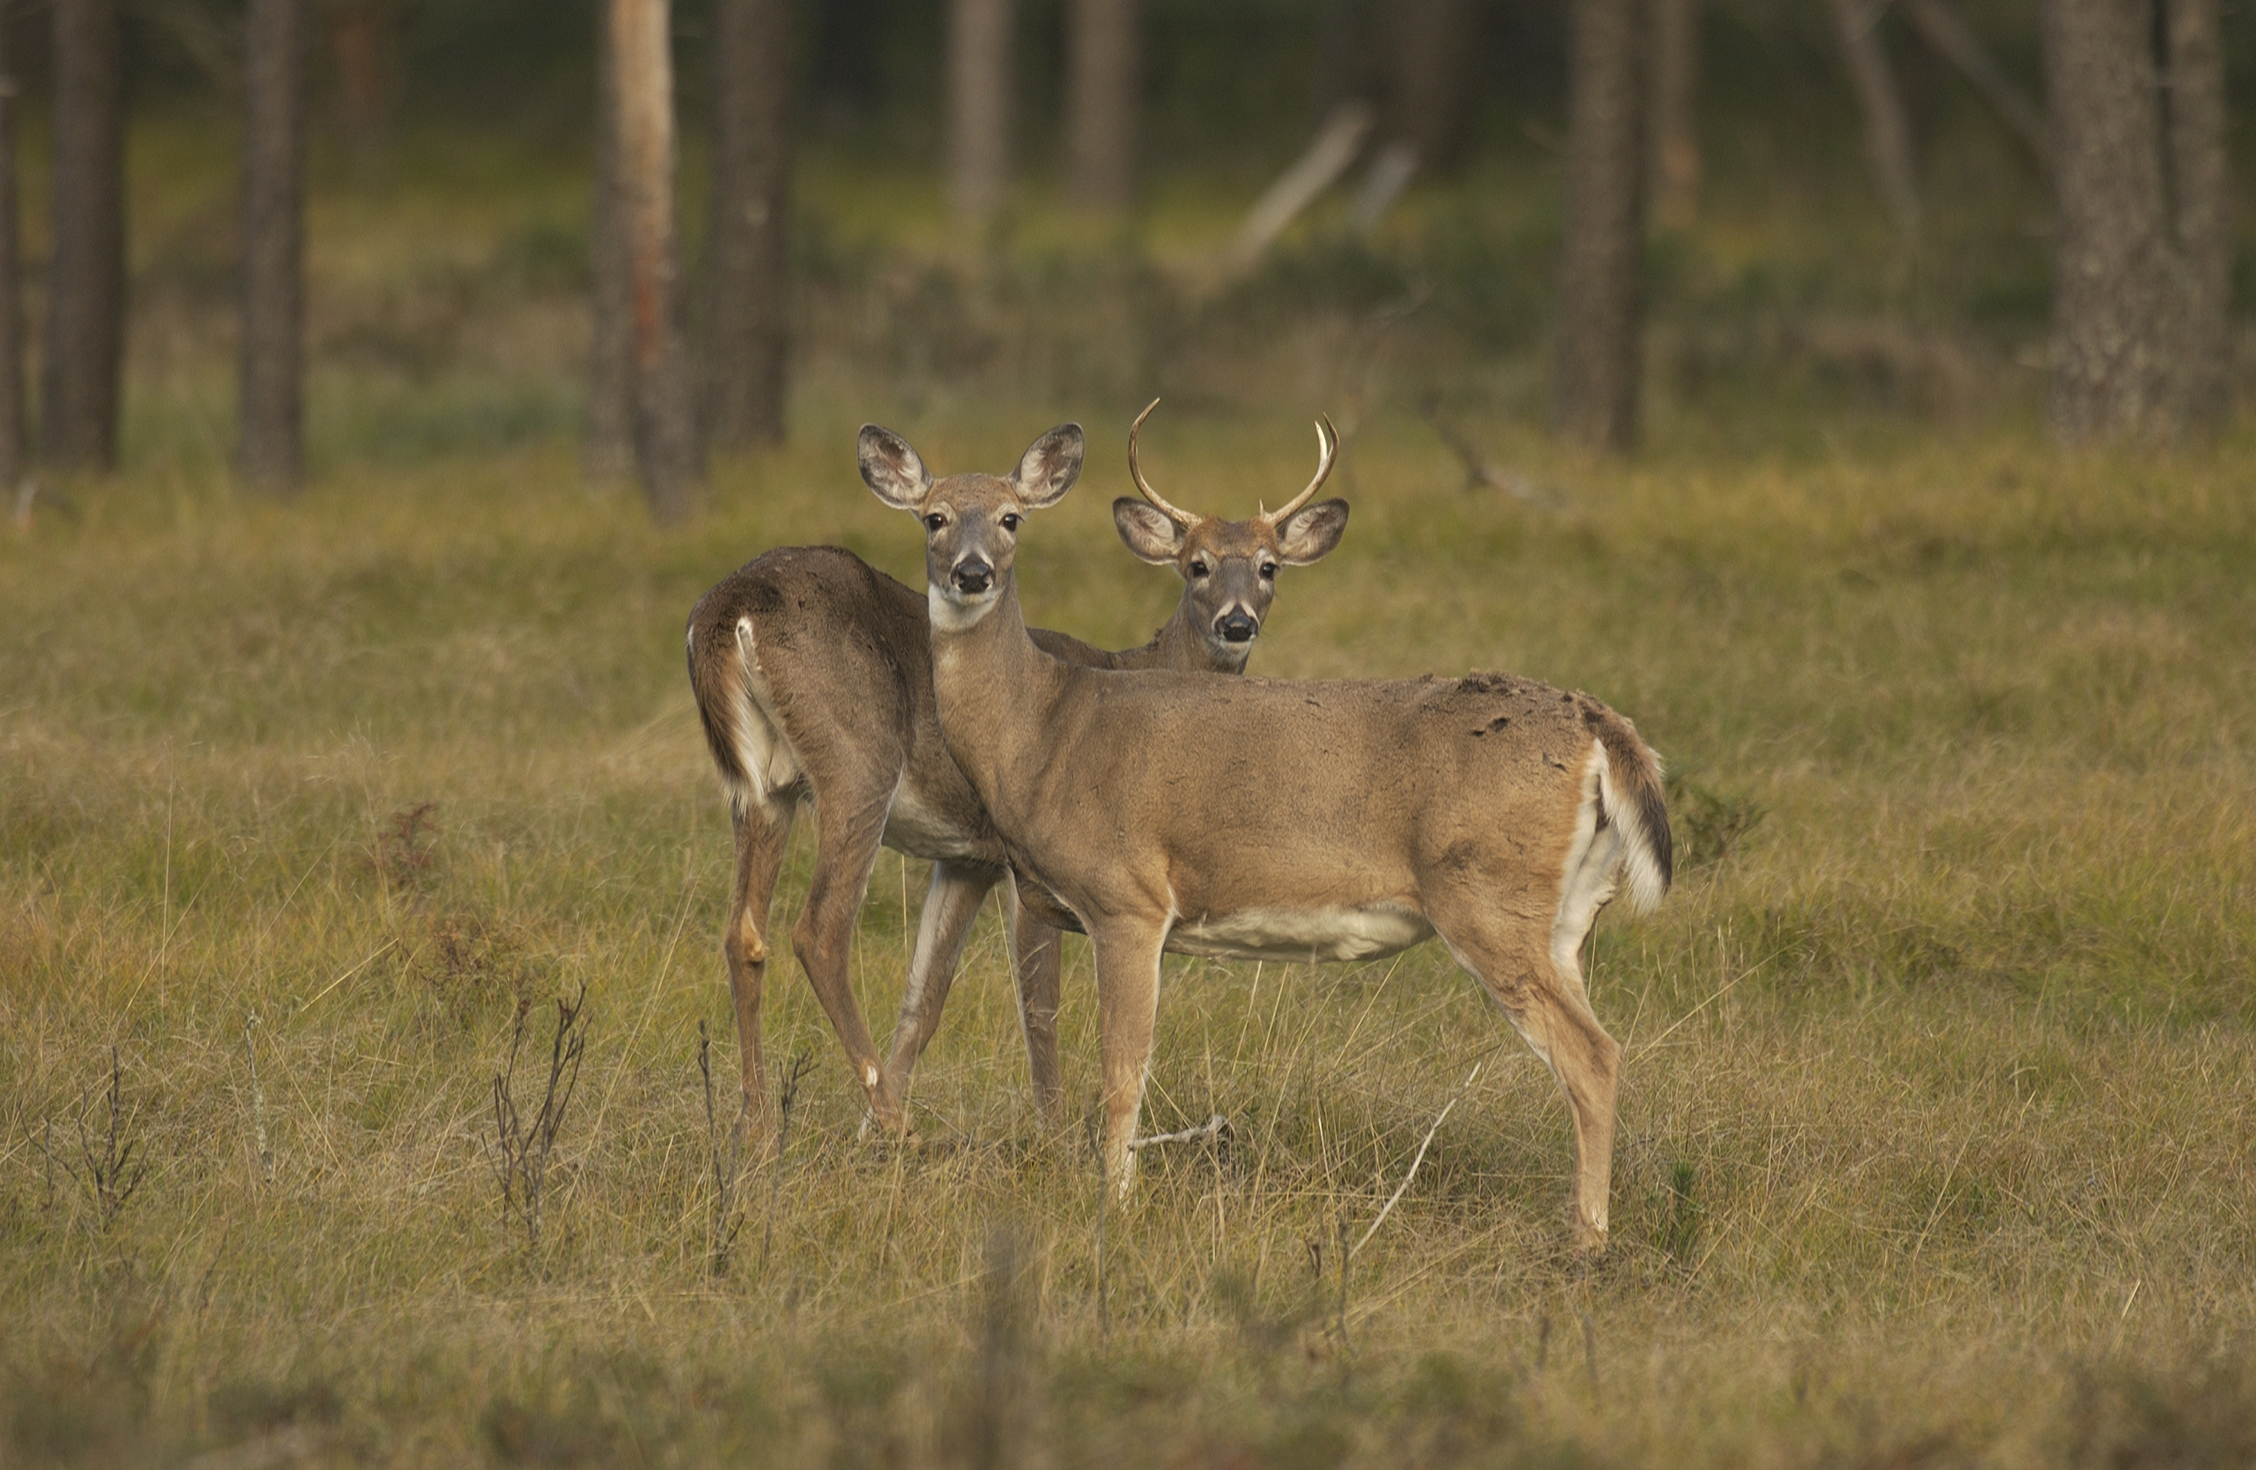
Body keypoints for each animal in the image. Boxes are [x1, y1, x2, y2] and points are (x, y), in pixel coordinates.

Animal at [676, 405, 1344, 1149]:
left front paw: (869, 1128)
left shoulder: (968, 857)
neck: (1134, 669)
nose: (1237, 623)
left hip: (761, 788)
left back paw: (760, 1126)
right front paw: (1052, 1136)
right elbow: (1039, 1004)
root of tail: (731, 609)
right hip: (858, 762)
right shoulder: (1029, 863)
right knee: (819, 930)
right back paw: (893, 1127)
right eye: (1195, 566)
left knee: (745, 933)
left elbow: (926, 997)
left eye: (1268, 566)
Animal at [861, 417, 1678, 1253]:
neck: (1044, 730)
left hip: (1488, 898)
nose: (971, 574)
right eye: (932, 517)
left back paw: (1587, 1243)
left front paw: (1115, 1208)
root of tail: (1598, 727)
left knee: (1594, 1056)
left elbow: (1121, 1072)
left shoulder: (1128, 899)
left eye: (1011, 518)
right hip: (1567, 917)